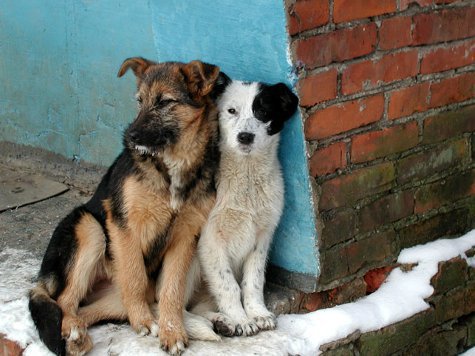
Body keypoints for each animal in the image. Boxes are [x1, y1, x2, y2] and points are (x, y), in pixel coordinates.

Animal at [28, 57, 222, 354]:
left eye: (165, 102)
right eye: (140, 101)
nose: (130, 137)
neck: (172, 165)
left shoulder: (186, 236)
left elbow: (172, 289)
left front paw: (171, 330)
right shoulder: (123, 224)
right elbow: (135, 276)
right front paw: (143, 320)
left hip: (112, 297)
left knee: (86, 309)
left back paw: (78, 335)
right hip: (90, 228)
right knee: (63, 300)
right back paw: (73, 331)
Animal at [189, 74, 298, 336]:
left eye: (263, 111)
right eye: (231, 110)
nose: (245, 137)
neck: (246, 179)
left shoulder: (262, 238)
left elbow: (253, 281)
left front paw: (257, 313)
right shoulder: (210, 239)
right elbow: (228, 284)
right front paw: (241, 319)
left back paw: (220, 322)